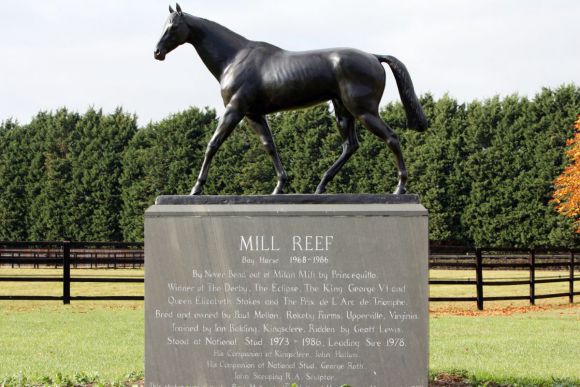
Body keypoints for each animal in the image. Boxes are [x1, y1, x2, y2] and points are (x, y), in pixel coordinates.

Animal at [153, 3, 426, 196]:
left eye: (173, 27)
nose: (157, 52)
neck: (234, 58)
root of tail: (373, 56)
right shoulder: (253, 115)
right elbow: (270, 146)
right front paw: (279, 186)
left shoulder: (235, 109)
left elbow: (213, 144)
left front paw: (195, 189)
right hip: (343, 110)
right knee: (350, 145)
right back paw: (320, 186)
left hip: (363, 111)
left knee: (391, 138)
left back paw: (399, 189)